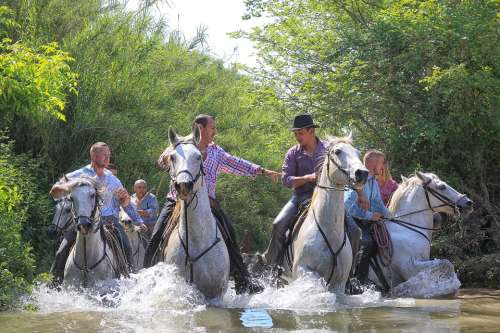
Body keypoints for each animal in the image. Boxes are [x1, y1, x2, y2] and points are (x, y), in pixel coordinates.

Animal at [292, 134, 370, 290]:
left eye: (358, 153)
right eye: (337, 151)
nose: (362, 173)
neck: (329, 231)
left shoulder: (339, 283)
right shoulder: (304, 271)